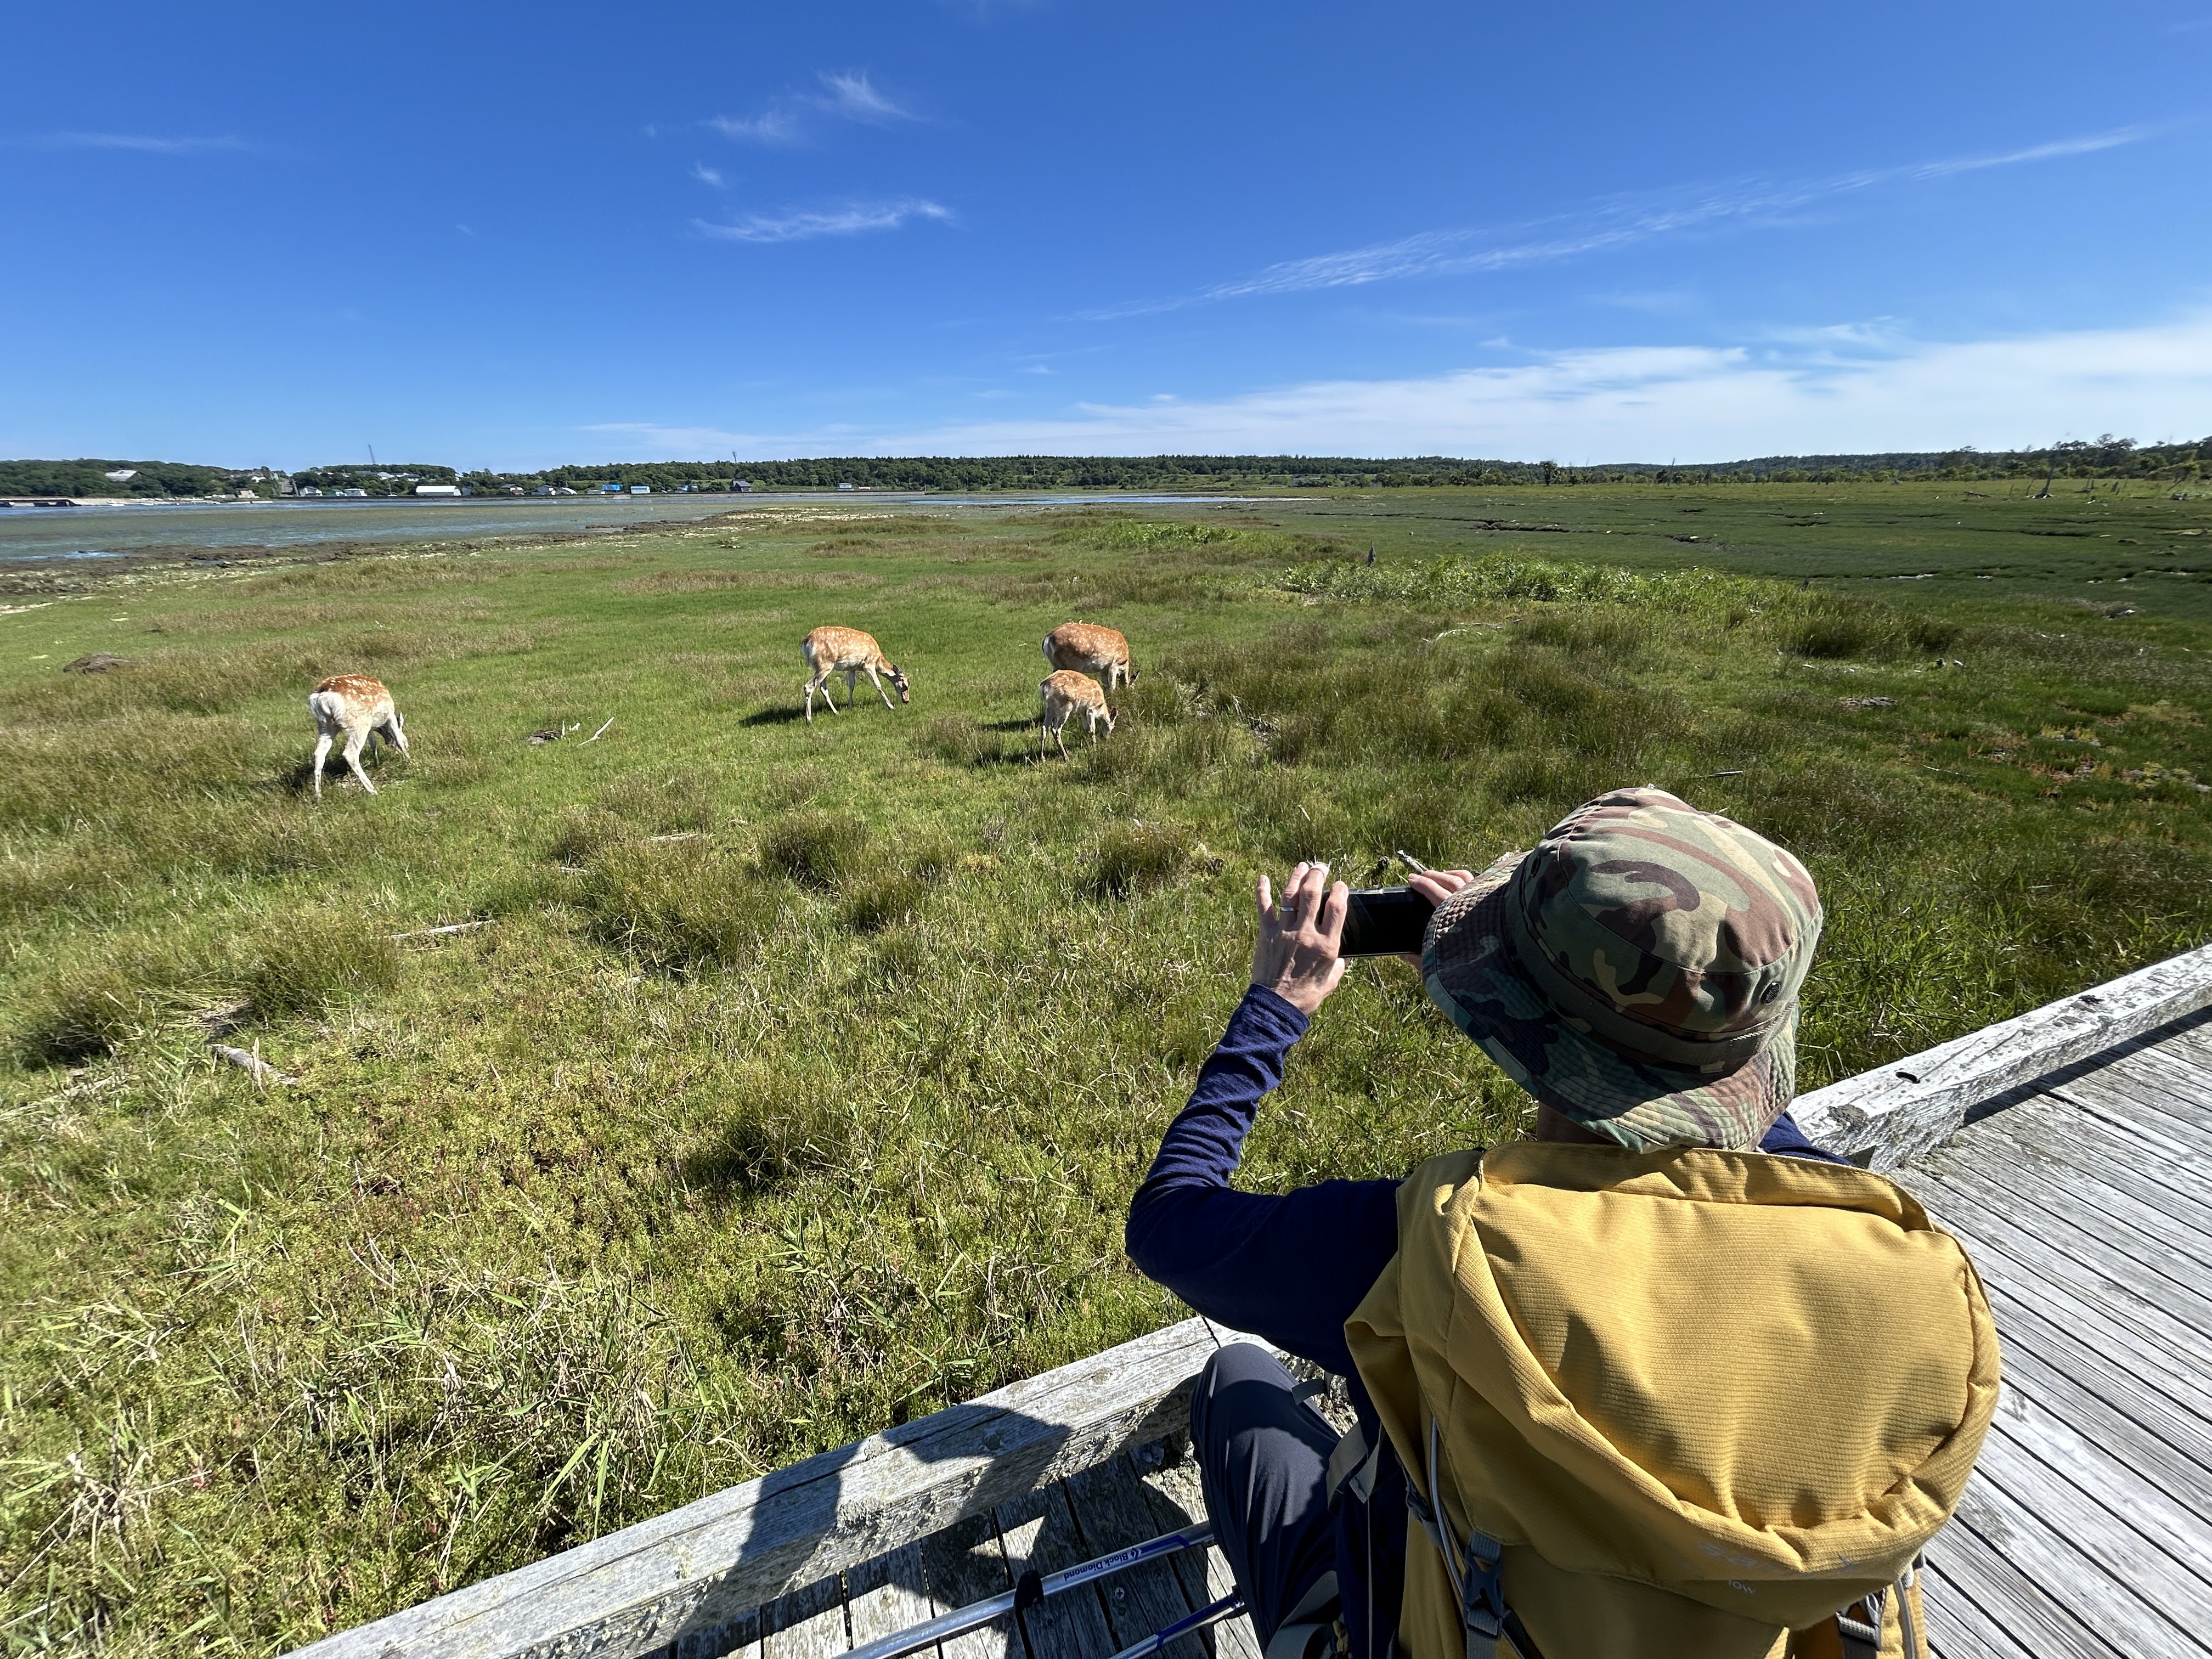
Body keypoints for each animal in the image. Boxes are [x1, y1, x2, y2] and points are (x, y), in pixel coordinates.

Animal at [307, 676, 411, 800]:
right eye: (407, 742)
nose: (397, 751)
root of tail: (321, 697)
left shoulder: (370, 727)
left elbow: (373, 743)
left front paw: (377, 762)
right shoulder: (389, 714)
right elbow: (398, 737)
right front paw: (411, 761)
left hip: (325, 726)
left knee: (319, 754)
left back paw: (318, 795)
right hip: (359, 723)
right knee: (350, 754)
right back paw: (373, 790)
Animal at [800, 628, 911, 725]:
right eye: (905, 686)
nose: (907, 700)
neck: (878, 661)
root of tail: (806, 642)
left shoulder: (852, 668)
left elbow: (851, 686)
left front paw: (850, 706)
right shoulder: (868, 664)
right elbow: (878, 685)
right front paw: (891, 706)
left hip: (822, 667)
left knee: (823, 688)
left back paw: (836, 712)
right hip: (825, 664)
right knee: (809, 687)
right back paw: (809, 721)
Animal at [1030, 668, 1106, 761]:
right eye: (1113, 726)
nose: (1107, 738)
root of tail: (1044, 688)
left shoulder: (1083, 711)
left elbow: (1087, 728)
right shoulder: (1091, 709)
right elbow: (1092, 729)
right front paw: (1095, 748)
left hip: (1050, 708)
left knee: (1045, 727)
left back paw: (1042, 758)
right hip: (1065, 708)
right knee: (1055, 729)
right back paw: (1066, 757)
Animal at [1040, 628, 1141, 699]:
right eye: (1133, 687)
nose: (1133, 696)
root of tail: (1048, 639)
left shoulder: (1103, 670)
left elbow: (1106, 686)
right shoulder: (1114, 665)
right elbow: (1113, 687)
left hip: (1056, 664)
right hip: (1064, 663)